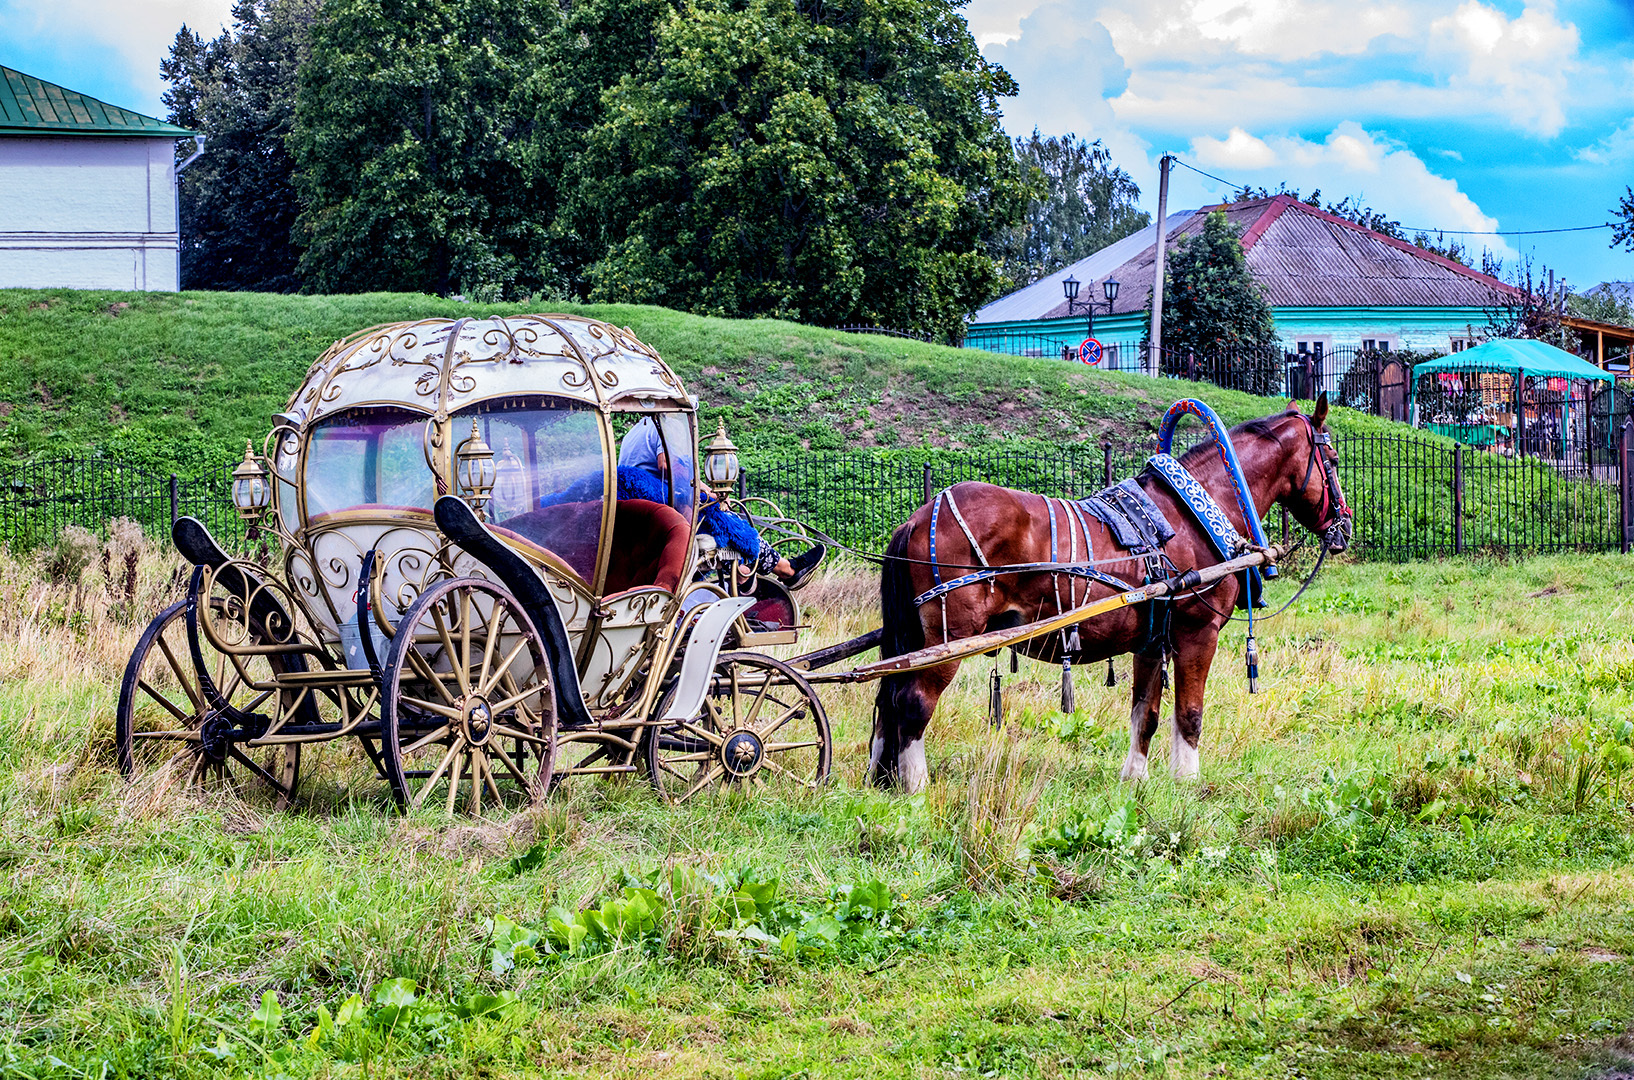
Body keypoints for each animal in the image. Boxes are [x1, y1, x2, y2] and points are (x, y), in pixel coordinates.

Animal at [869, 392, 1352, 787]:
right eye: (1331, 461)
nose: (1344, 527)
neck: (1196, 510)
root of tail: (918, 516)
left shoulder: (1152, 640)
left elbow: (1146, 714)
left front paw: (1135, 778)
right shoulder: (1197, 633)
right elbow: (1189, 714)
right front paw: (1187, 783)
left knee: (887, 701)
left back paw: (883, 779)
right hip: (949, 637)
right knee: (912, 701)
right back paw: (916, 785)